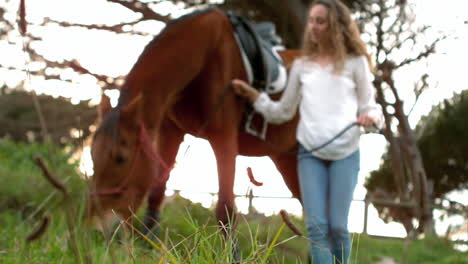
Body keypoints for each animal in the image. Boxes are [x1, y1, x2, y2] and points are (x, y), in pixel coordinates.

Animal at [86, 7, 302, 236]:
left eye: (121, 158)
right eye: (92, 156)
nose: (99, 226)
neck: (207, 51)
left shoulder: (224, 138)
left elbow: (225, 211)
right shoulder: (170, 132)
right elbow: (156, 193)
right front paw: (148, 241)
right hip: (287, 158)